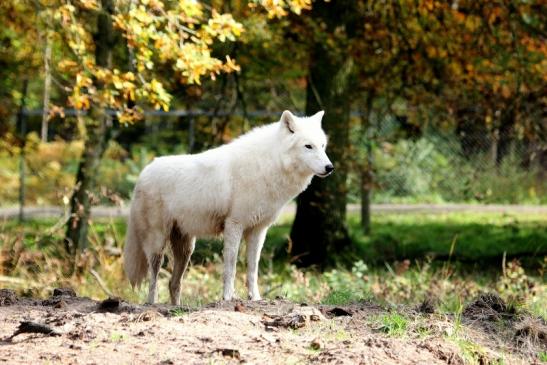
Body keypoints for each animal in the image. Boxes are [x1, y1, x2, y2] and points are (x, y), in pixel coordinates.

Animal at [124, 109, 334, 302]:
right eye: (308, 146)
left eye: (323, 146)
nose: (330, 167)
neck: (268, 165)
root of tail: (143, 173)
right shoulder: (234, 225)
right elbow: (231, 266)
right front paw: (228, 297)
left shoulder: (258, 230)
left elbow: (253, 268)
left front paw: (255, 298)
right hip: (158, 244)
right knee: (153, 280)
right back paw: (153, 304)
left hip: (186, 248)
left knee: (173, 283)